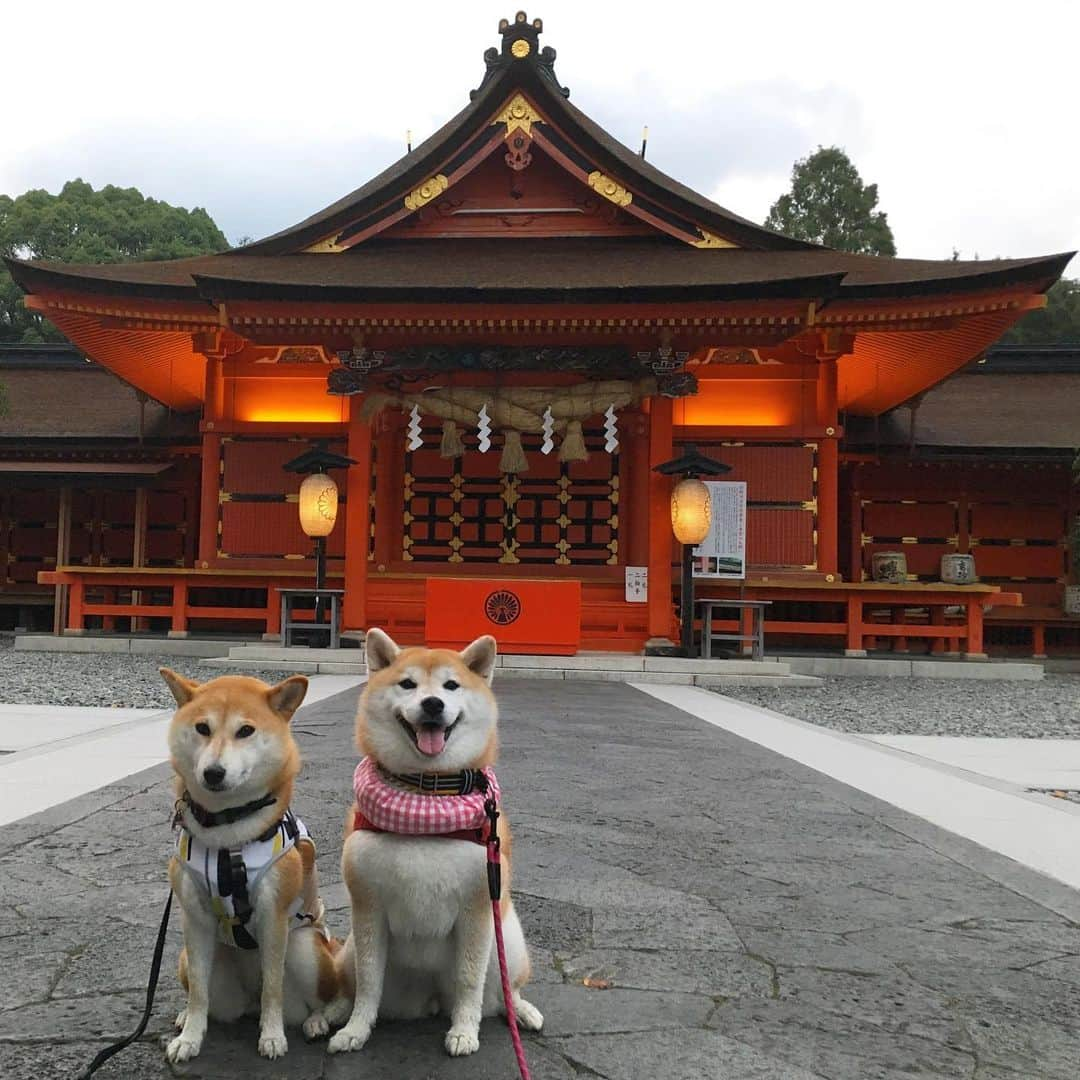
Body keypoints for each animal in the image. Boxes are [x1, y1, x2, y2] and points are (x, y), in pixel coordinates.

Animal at [160, 665, 341, 1062]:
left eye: (245, 731)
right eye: (202, 728)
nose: (213, 772)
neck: (226, 835)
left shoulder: (273, 917)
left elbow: (272, 986)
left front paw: (272, 1036)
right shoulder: (194, 917)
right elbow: (198, 992)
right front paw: (190, 1038)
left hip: (304, 949)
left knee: (324, 996)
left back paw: (316, 1021)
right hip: (191, 962)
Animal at [328, 630, 544, 1058]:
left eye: (451, 686)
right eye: (408, 684)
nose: (432, 703)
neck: (426, 795)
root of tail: (428, 998)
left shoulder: (478, 909)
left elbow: (469, 980)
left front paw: (464, 1032)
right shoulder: (368, 909)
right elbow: (368, 981)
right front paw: (355, 1030)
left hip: (509, 939)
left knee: (504, 991)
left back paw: (523, 1011)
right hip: (349, 952)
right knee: (350, 984)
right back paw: (327, 1016)